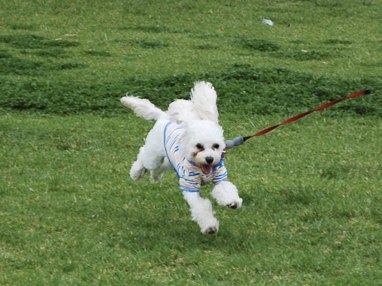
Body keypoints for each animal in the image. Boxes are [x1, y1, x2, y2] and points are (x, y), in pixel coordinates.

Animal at [121, 81, 243, 233]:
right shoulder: (189, 185)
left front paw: (232, 202)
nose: (210, 159)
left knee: (160, 167)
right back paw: (136, 173)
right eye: (199, 146)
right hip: (153, 155)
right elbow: (200, 206)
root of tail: (164, 117)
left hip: (168, 159)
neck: (202, 168)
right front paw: (209, 226)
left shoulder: (220, 177)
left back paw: (155, 176)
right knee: (144, 156)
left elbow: (226, 189)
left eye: (216, 146)